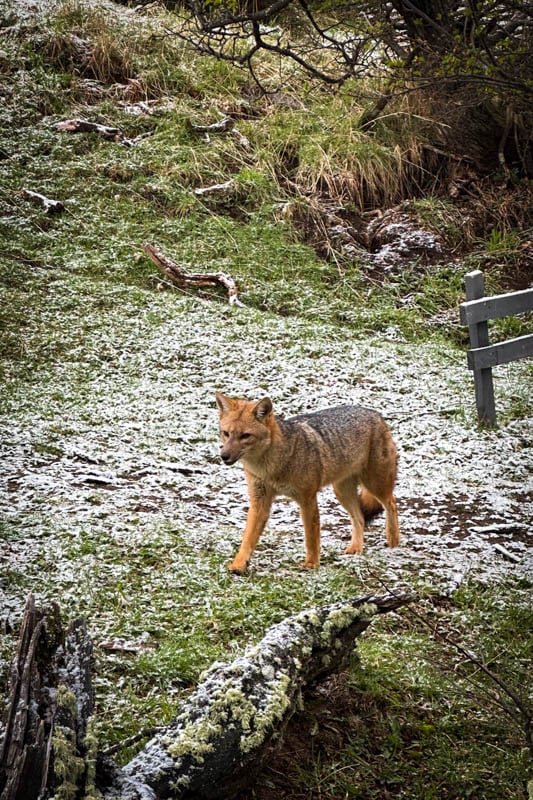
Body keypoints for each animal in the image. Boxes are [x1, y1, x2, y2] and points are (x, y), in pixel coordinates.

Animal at [215, 391, 400, 573]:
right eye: (226, 433)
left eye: (245, 436)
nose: (224, 456)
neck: (271, 468)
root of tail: (375, 414)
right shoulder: (259, 502)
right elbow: (247, 538)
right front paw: (238, 564)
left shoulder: (307, 499)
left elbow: (311, 537)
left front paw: (311, 564)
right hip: (341, 491)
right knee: (360, 518)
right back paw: (356, 548)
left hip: (375, 485)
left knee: (391, 503)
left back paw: (393, 541)